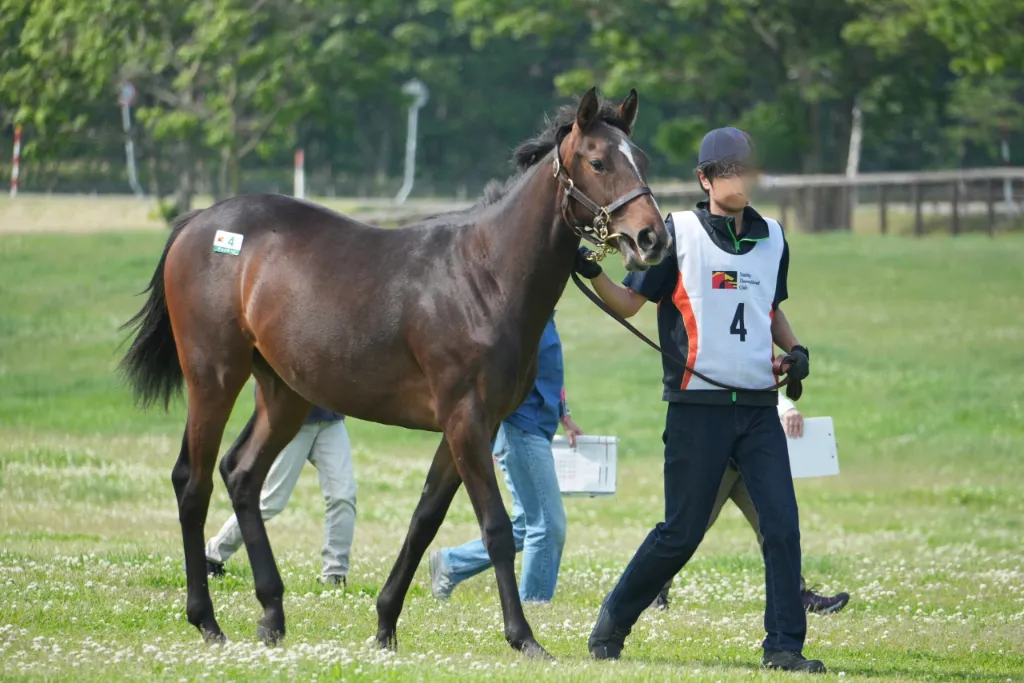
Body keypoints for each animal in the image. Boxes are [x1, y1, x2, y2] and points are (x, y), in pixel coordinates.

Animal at [118, 87, 671, 658]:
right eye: (598, 161)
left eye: (642, 159)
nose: (651, 238)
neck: (486, 274)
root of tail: (200, 221)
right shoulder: (466, 420)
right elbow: (495, 527)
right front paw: (523, 637)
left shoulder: (470, 425)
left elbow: (424, 520)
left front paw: (385, 624)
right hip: (214, 377)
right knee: (194, 482)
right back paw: (206, 619)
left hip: (284, 392)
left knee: (242, 474)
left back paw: (271, 612)